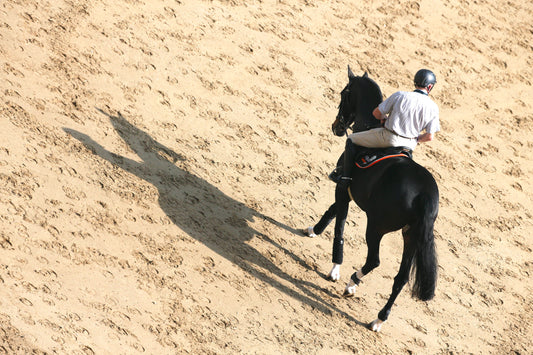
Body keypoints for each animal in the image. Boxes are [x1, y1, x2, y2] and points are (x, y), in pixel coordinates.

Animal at [306, 67, 438, 334]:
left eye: (344, 94)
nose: (337, 127)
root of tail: (424, 194)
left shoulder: (343, 189)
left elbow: (339, 224)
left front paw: (335, 269)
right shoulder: (347, 191)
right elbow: (332, 212)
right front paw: (314, 229)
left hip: (376, 227)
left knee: (374, 260)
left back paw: (351, 283)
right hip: (410, 237)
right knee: (400, 279)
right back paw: (378, 319)